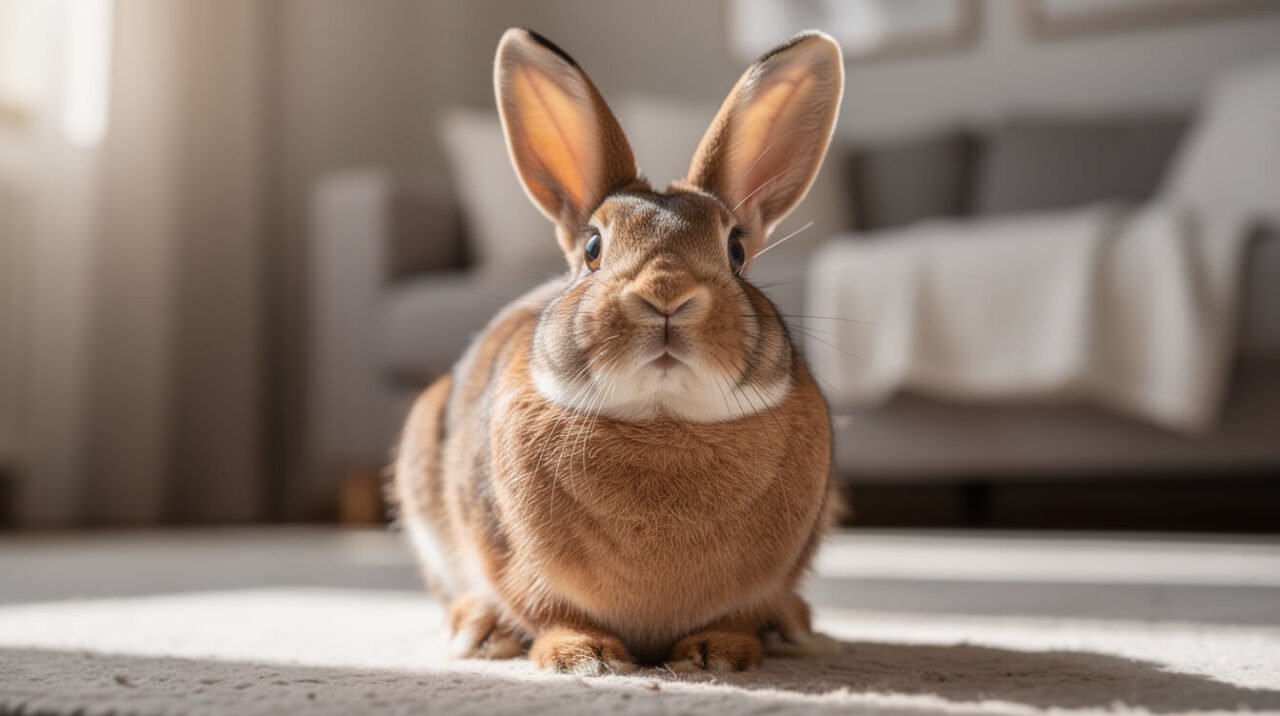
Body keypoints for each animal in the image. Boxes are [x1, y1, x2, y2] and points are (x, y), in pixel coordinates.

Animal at [391, 27, 844, 675]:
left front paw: (717, 654)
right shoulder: (514, 560)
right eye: (593, 248)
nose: (666, 295)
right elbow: (549, 609)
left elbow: (736, 614)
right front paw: (584, 657)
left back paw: (792, 626)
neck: (662, 416)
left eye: (735, 249)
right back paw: (479, 631)